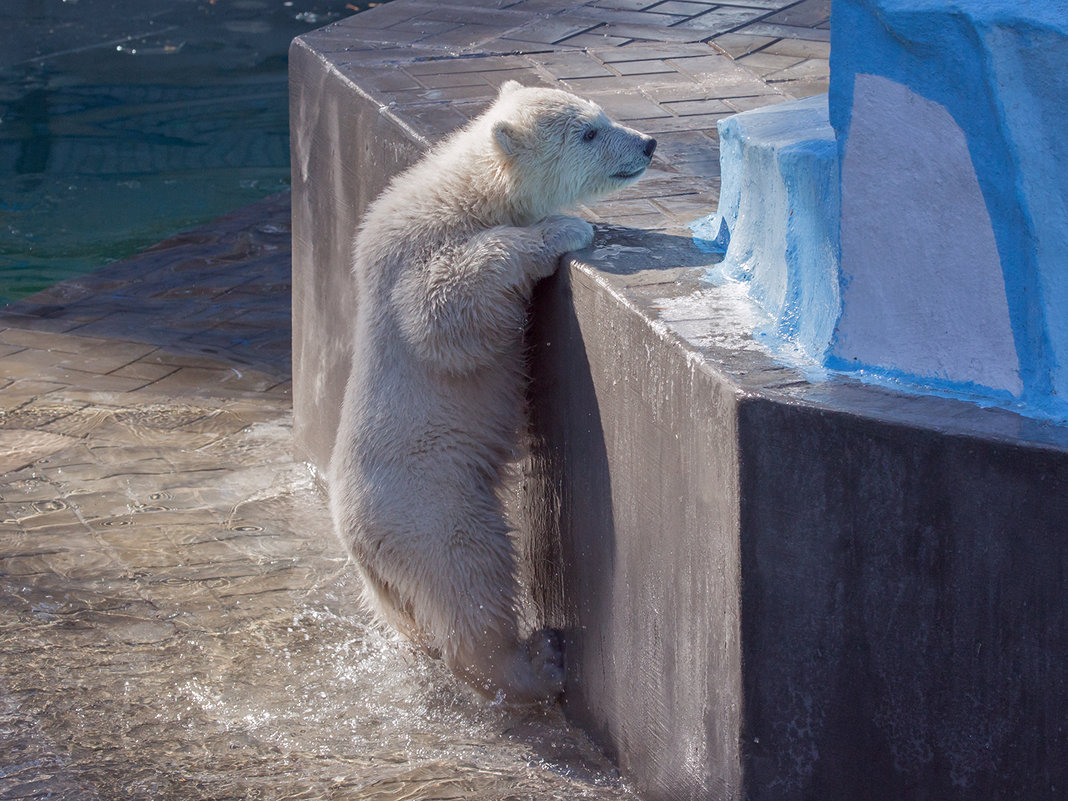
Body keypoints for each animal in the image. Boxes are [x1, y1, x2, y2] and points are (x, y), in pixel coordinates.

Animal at [328, 81, 653, 704]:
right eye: (589, 132)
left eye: (601, 116)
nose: (648, 143)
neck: (463, 189)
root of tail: (356, 541)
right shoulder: (419, 257)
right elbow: (443, 307)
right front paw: (566, 229)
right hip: (431, 505)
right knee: (472, 576)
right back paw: (534, 664)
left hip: (388, 579)